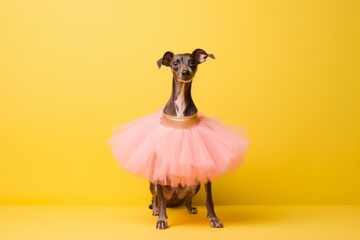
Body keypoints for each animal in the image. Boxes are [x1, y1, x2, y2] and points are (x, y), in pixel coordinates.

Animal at [148, 48, 224, 229]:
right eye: (175, 63)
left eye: (192, 62)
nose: (185, 72)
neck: (180, 102)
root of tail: (174, 199)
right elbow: (160, 201)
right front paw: (162, 219)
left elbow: (210, 200)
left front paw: (214, 218)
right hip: (153, 183)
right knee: (157, 198)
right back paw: (156, 210)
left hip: (194, 184)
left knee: (187, 199)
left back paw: (190, 207)